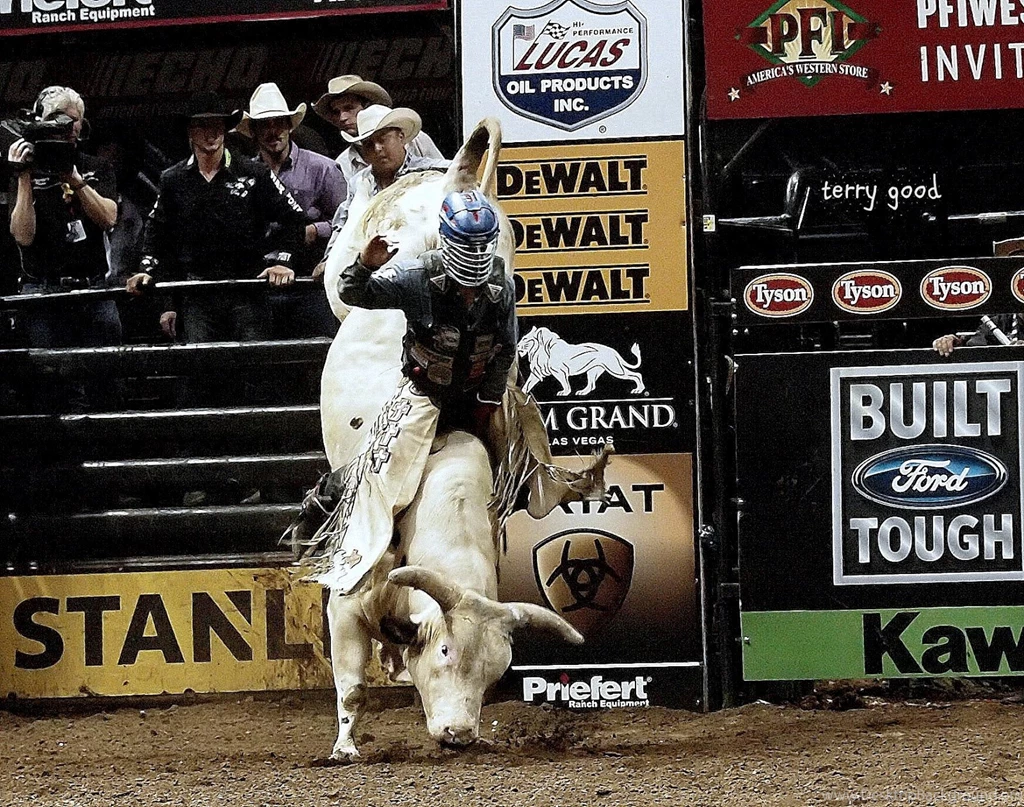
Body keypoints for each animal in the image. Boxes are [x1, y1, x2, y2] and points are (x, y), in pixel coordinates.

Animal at [315, 119, 604, 760]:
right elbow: (351, 684)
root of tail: (458, 182)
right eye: (446, 651)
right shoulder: (347, 601)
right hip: (349, 262)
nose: (458, 735)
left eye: (496, 670)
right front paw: (345, 748)